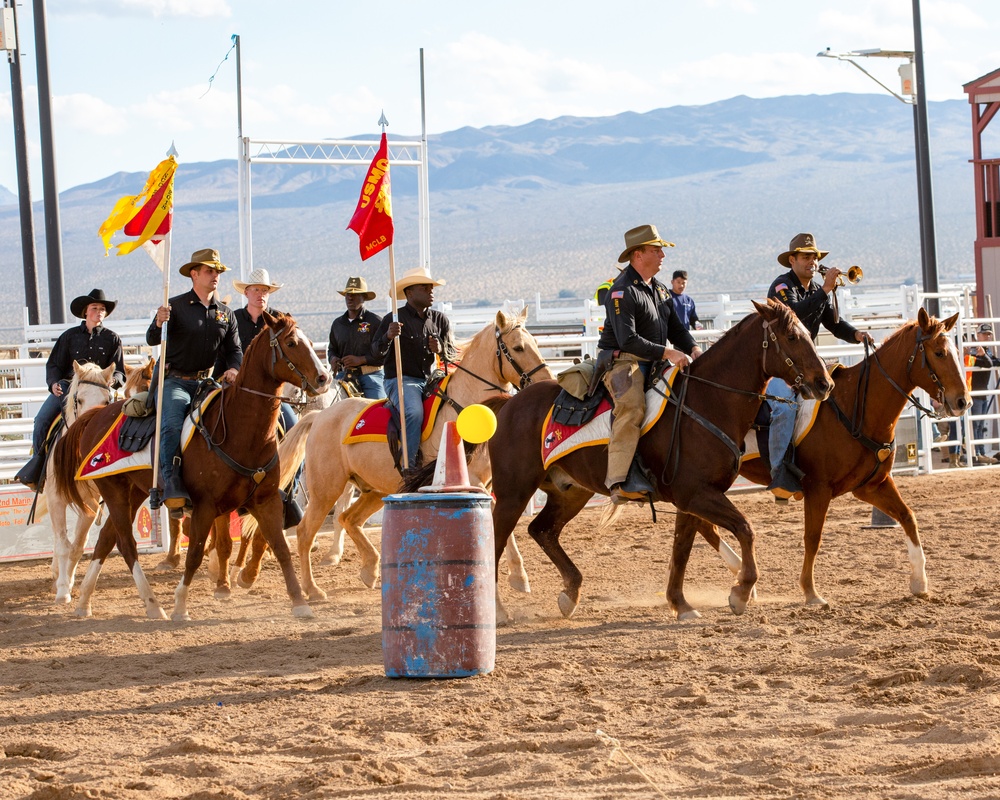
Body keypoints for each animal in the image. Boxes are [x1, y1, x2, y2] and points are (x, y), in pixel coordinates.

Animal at [47, 360, 152, 604]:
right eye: (78, 399)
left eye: (107, 400)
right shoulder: (56, 499)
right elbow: (63, 544)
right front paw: (62, 590)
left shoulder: (92, 505)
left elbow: (76, 546)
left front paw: (67, 583)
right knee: (59, 540)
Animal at [242, 306, 556, 600]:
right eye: (518, 347)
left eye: (535, 343)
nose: (546, 380)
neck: (465, 408)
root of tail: (319, 417)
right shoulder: (474, 483)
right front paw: (517, 576)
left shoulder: (491, 483)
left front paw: (518, 576)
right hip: (325, 490)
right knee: (308, 531)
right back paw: (312, 589)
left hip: (374, 490)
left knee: (348, 519)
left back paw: (369, 569)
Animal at [488, 296, 832, 620]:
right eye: (791, 336)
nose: (824, 383)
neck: (706, 401)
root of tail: (508, 404)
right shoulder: (695, 493)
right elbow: (745, 528)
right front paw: (740, 592)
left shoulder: (692, 498)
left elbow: (681, 549)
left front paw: (680, 603)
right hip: (513, 493)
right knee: (495, 540)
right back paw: (498, 611)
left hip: (570, 492)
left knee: (542, 530)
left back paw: (570, 594)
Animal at [696, 310, 968, 608]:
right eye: (940, 352)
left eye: (956, 351)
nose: (963, 401)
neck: (856, 408)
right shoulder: (818, 489)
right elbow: (813, 537)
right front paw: (811, 592)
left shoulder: (872, 486)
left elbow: (908, 517)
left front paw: (920, 582)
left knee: (703, 524)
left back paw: (742, 579)